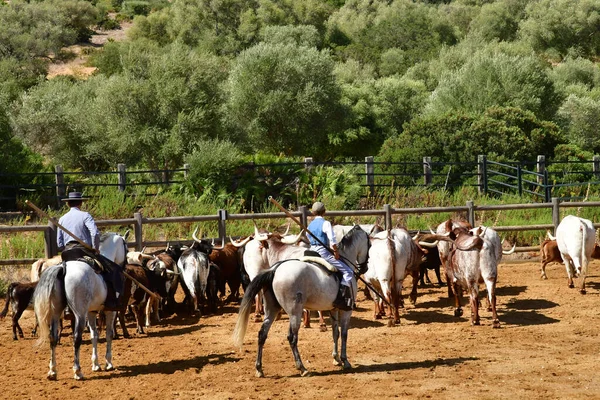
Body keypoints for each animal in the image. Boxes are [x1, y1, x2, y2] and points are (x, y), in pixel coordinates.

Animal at [32, 230, 127, 380]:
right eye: (126, 249)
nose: (125, 265)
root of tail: (63, 267)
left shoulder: (91, 311)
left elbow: (94, 335)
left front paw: (96, 364)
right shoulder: (110, 311)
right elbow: (108, 334)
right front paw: (108, 363)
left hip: (56, 313)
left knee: (53, 337)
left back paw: (52, 371)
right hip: (80, 314)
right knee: (77, 338)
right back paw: (77, 371)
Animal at [233, 227, 370, 376]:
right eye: (369, 245)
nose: (365, 268)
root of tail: (274, 269)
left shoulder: (333, 309)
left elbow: (336, 333)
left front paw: (336, 359)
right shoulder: (346, 310)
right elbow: (344, 334)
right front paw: (345, 361)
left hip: (272, 309)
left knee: (262, 334)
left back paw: (259, 369)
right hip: (295, 312)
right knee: (292, 337)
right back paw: (302, 368)